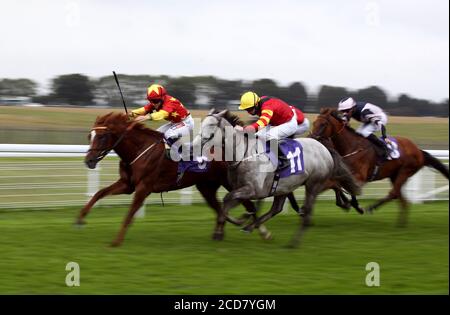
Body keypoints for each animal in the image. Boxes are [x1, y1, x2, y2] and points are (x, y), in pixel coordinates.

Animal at [76, 112, 270, 248]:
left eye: (102, 136)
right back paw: (222, 231)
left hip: (230, 183)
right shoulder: (127, 184)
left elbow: (130, 214)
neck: (139, 149)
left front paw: (116, 241)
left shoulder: (143, 187)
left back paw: (262, 231)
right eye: (89, 136)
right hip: (206, 187)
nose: (88, 161)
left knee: (248, 204)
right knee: (218, 208)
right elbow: (99, 193)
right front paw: (80, 218)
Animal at [195, 110, 360, 248]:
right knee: (276, 208)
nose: (196, 143)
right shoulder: (240, 188)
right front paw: (236, 222)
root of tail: (325, 149)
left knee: (306, 215)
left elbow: (230, 200)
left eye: (211, 125)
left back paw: (293, 243)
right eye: (202, 123)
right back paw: (250, 227)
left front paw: (223, 229)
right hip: (284, 186)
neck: (243, 154)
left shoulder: (253, 190)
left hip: (313, 185)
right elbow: (230, 204)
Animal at [312, 108, 448, 225]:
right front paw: (347, 203)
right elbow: (338, 185)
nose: (312, 138)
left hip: (405, 171)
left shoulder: (359, 176)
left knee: (393, 193)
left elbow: (339, 185)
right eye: (314, 123)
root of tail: (419, 151)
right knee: (401, 198)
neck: (352, 147)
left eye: (323, 124)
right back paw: (401, 224)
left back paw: (372, 207)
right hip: (394, 175)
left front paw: (352, 205)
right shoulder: (347, 175)